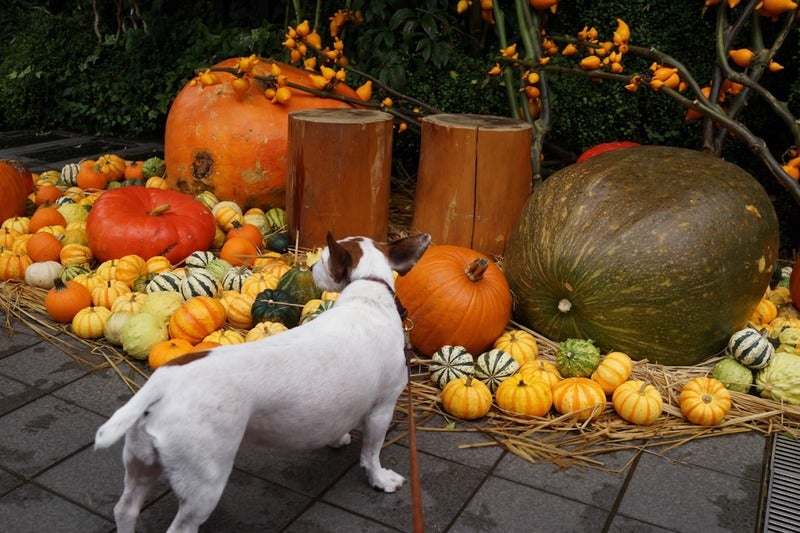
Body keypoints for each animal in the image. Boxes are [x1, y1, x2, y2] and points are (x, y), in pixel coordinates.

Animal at [94, 231, 432, 533]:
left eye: (322, 260)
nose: (311, 268)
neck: (368, 291)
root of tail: (163, 383)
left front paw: (338, 438)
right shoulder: (382, 410)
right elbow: (371, 454)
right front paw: (380, 479)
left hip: (141, 463)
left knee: (126, 509)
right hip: (204, 483)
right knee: (181, 525)